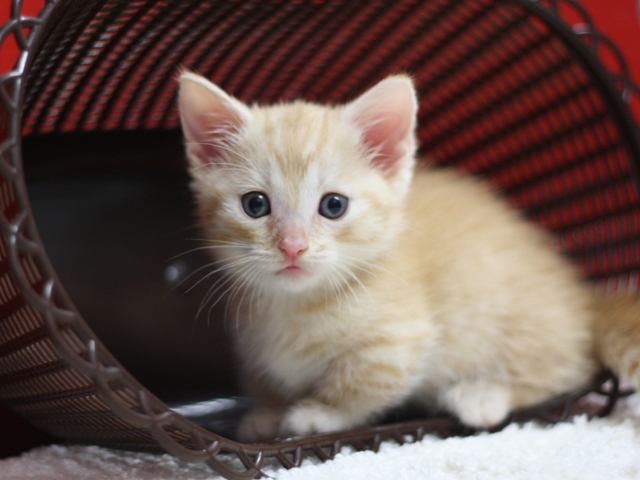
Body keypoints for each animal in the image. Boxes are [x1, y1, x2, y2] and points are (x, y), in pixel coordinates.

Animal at [178, 72, 640, 442]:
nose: (293, 245)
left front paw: (318, 415)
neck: (296, 305)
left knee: (569, 373)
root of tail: (587, 300)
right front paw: (269, 414)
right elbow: (267, 383)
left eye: (333, 205)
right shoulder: (252, 349)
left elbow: (364, 384)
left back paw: (483, 394)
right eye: (255, 204)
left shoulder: (398, 340)